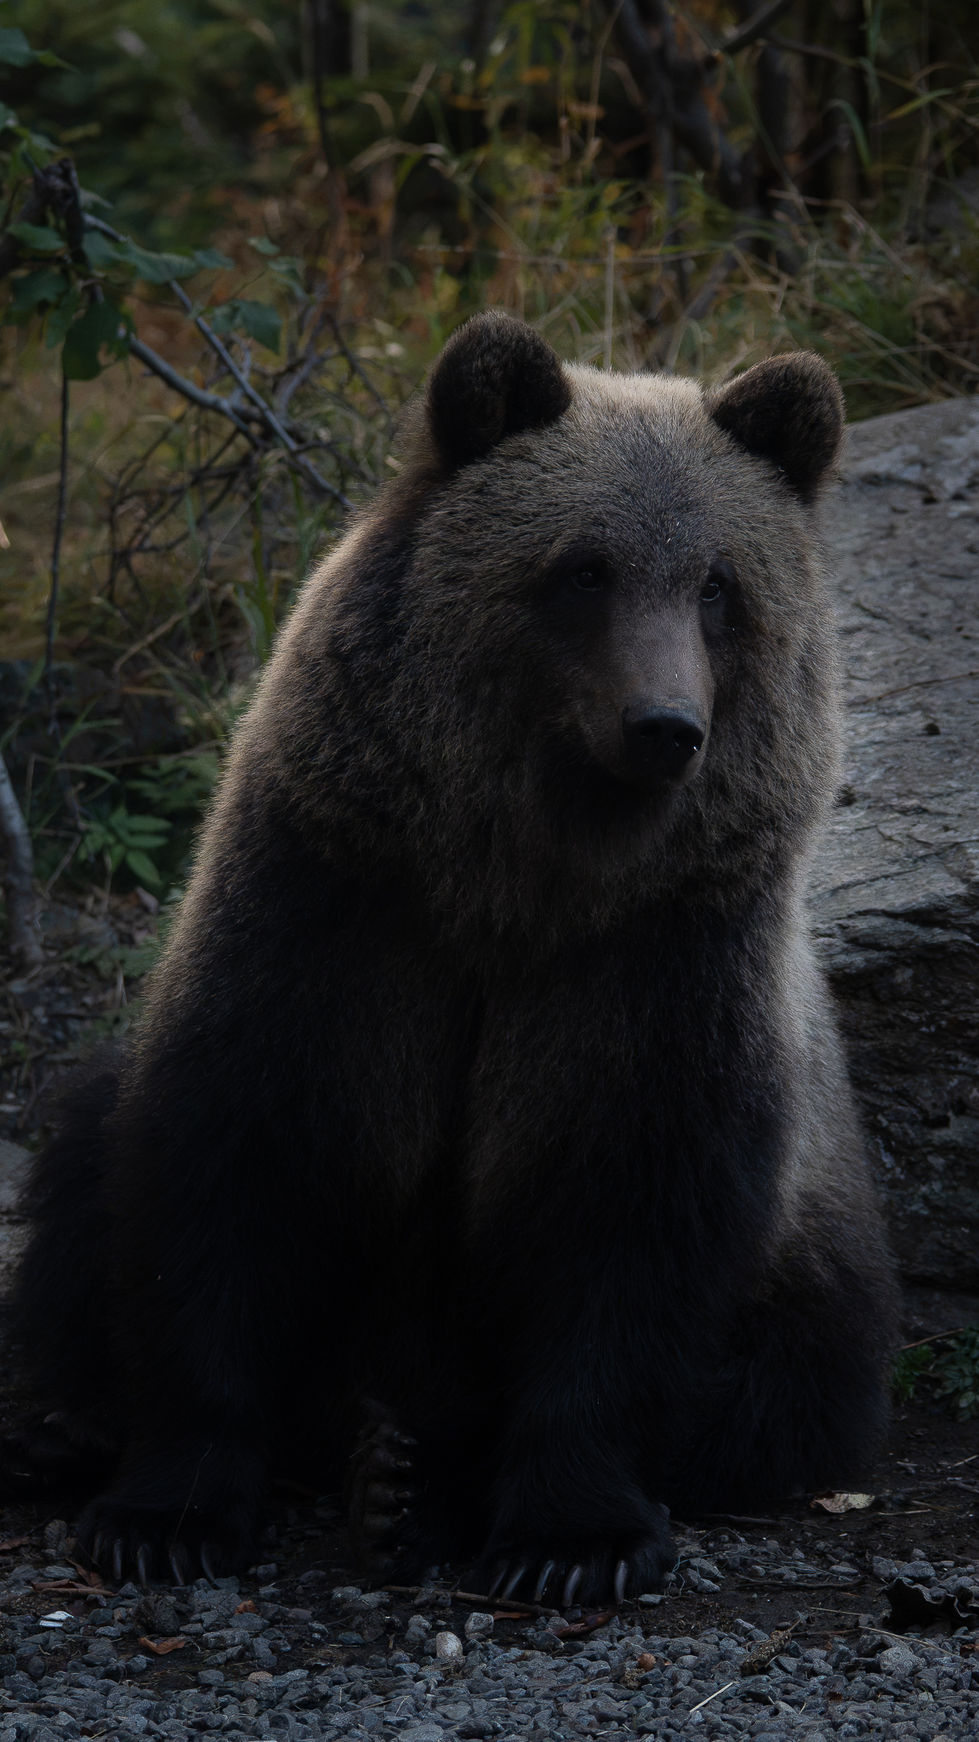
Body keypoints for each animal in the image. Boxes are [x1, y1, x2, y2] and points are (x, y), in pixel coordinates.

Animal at [8, 311, 897, 1603]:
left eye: (720, 585)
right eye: (583, 567)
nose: (664, 727)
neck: (518, 875)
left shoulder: (661, 958)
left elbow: (626, 1219)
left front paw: (572, 1535)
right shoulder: (341, 901)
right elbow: (226, 1169)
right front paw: (162, 1509)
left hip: (818, 1258)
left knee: (781, 1386)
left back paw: (403, 1478)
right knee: (80, 1171)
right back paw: (73, 1428)